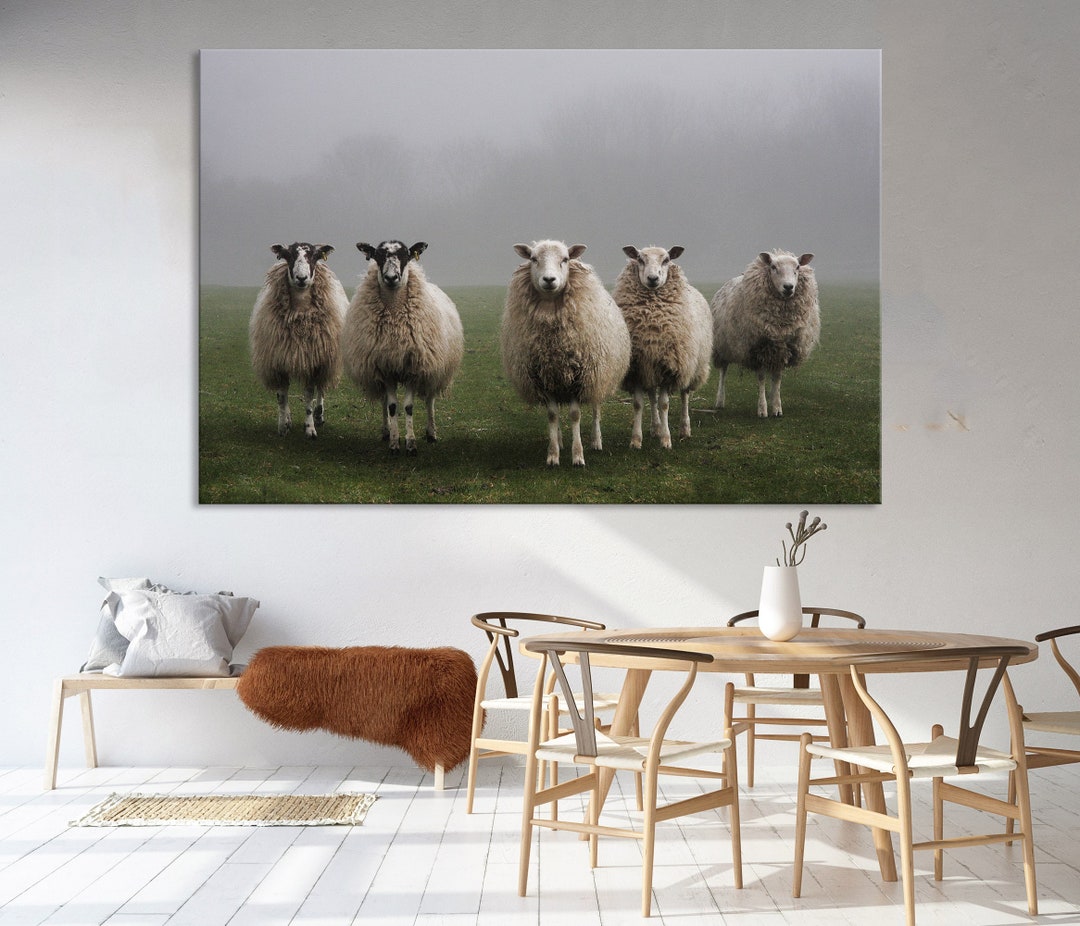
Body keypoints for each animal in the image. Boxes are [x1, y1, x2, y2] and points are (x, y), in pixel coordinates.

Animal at [249, 242, 348, 438]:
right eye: (289, 256)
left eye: (314, 256)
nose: (301, 278)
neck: (300, 313)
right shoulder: (278, 360)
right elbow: (281, 396)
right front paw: (282, 425)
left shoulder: (313, 360)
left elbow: (309, 395)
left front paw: (310, 428)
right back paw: (288, 419)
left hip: (326, 359)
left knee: (321, 388)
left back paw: (319, 415)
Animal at [341, 240, 464, 454]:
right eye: (378, 256)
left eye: (406, 255)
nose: (391, 278)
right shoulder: (385, 368)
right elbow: (391, 406)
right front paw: (394, 443)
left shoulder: (414, 368)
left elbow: (408, 407)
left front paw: (411, 443)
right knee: (384, 401)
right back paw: (386, 432)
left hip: (434, 368)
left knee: (430, 399)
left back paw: (431, 433)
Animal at [500, 240, 631, 467]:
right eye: (533, 259)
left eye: (565, 259)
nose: (549, 280)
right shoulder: (544, 377)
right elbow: (553, 415)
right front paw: (553, 455)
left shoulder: (580, 377)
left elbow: (575, 414)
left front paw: (578, 455)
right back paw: (560, 441)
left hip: (598, 373)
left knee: (596, 407)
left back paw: (596, 441)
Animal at [612, 245, 713, 449]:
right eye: (640, 259)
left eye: (666, 259)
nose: (652, 278)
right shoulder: (638, 368)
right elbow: (638, 404)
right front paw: (636, 440)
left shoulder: (670, 367)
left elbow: (664, 404)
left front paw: (666, 440)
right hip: (650, 369)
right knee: (652, 396)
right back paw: (655, 427)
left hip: (690, 366)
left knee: (684, 395)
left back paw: (684, 429)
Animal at [711, 249, 820, 418]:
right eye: (773, 267)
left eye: (797, 267)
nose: (788, 287)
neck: (780, 323)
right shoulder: (758, 349)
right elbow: (761, 378)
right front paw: (762, 409)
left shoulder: (782, 350)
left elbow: (777, 378)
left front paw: (777, 407)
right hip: (722, 345)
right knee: (723, 371)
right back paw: (720, 401)